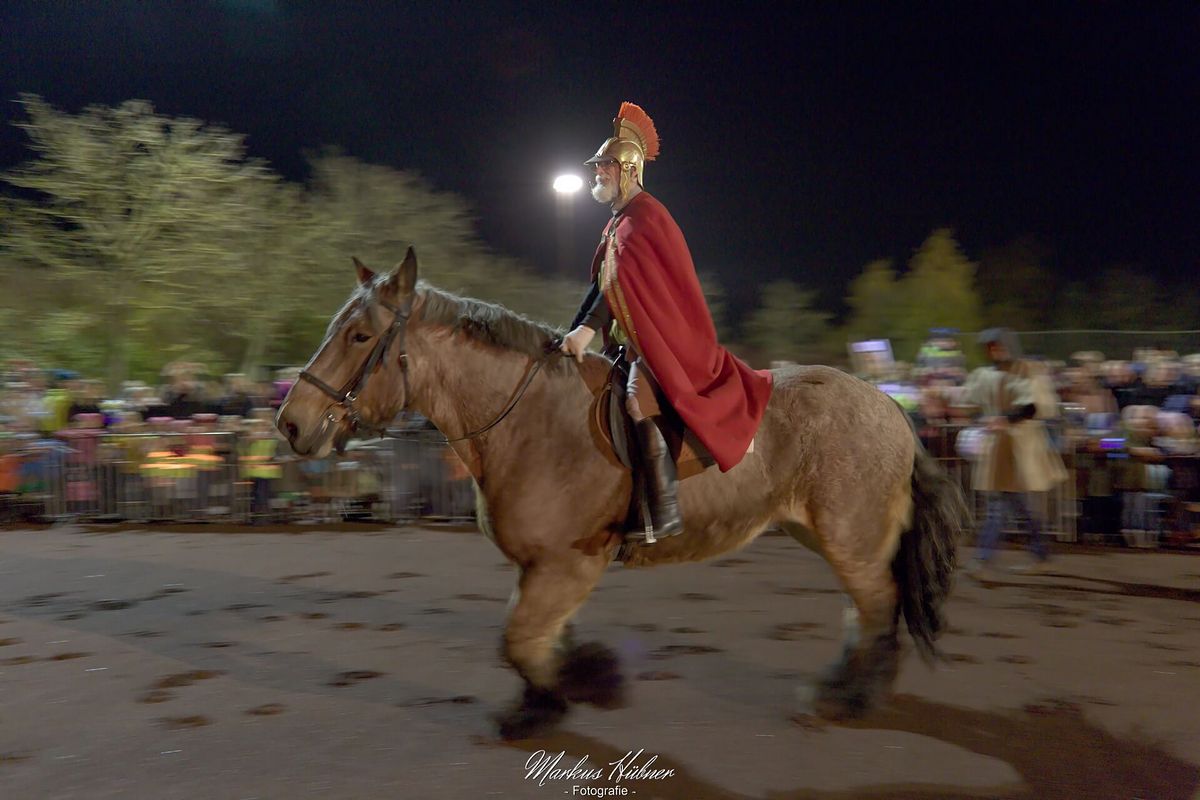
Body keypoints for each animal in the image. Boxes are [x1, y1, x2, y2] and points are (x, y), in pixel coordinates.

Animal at [276, 251, 969, 743]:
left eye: (360, 336)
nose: (290, 423)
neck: (528, 420)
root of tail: (893, 407)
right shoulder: (544, 567)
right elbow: (534, 637)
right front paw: (551, 697)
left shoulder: (569, 563)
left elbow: (520, 640)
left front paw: (581, 687)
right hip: (830, 533)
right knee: (866, 611)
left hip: (852, 537)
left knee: (877, 606)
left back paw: (847, 697)